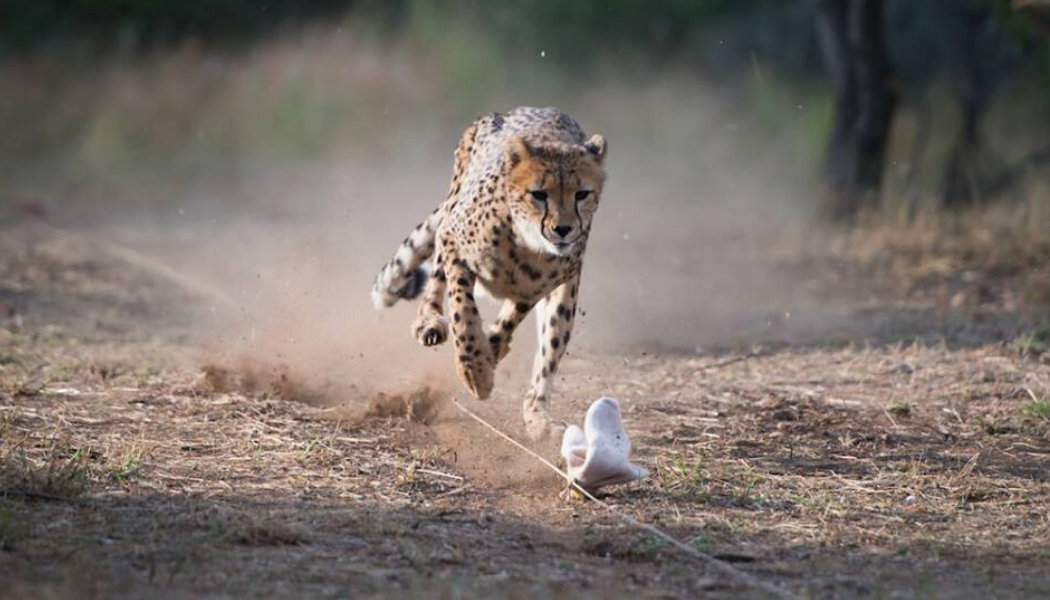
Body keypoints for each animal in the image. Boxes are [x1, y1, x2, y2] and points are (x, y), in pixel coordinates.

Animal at [373, 106, 613, 437]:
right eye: (539, 194)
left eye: (582, 194)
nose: (563, 229)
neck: (525, 243)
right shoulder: (454, 243)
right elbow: (462, 310)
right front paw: (476, 372)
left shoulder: (539, 286)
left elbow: (508, 323)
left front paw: (490, 356)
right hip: (449, 216)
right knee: (435, 286)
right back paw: (429, 322)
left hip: (564, 299)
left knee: (548, 352)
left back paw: (538, 416)